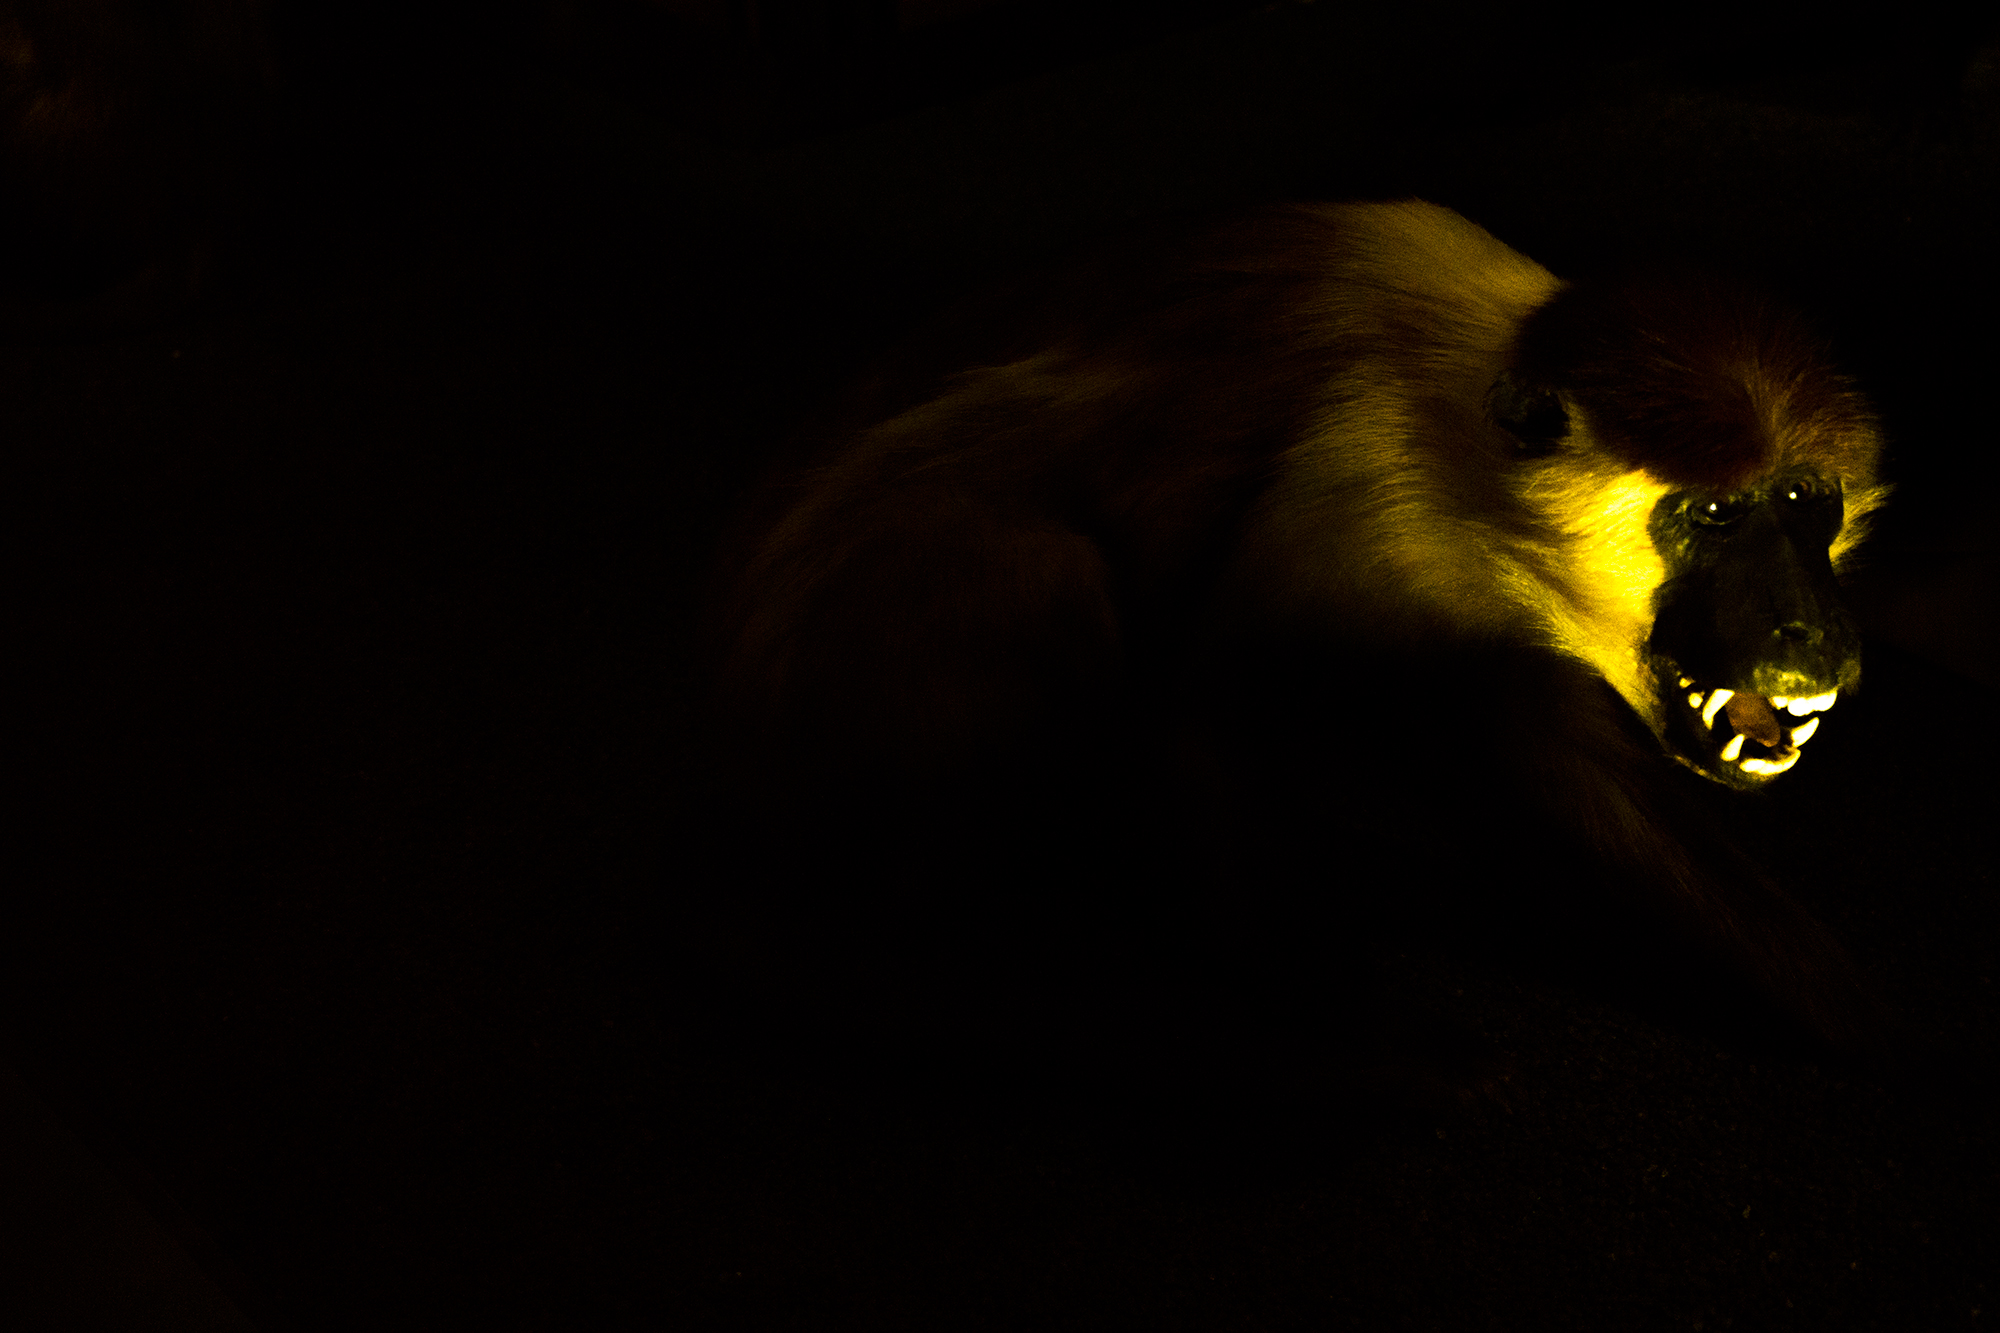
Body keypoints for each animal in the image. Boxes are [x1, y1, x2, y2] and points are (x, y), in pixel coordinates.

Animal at [707, 200, 1894, 1070]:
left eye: (1804, 505)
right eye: (1714, 515)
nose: (1811, 632)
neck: (1470, 445)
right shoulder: (1358, 483)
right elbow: (1198, 707)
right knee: (1051, 568)